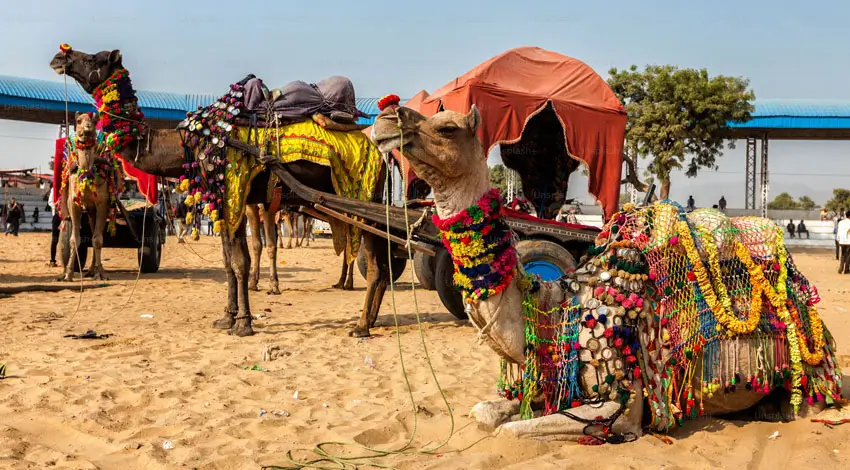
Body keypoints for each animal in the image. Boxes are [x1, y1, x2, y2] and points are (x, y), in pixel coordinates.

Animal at [59, 112, 118, 281]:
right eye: (78, 121)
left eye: (94, 120)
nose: (87, 129)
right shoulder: (73, 203)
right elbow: (74, 239)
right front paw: (68, 273)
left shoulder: (103, 203)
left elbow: (98, 240)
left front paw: (101, 273)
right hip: (89, 210)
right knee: (91, 230)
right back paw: (89, 270)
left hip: (95, 209)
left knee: (95, 234)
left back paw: (95, 270)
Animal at [371, 104, 843, 441]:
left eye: (448, 128)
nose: (385, 117)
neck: (556, 310)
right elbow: (487, 413)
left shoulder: (620, 403)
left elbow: (513, 430)